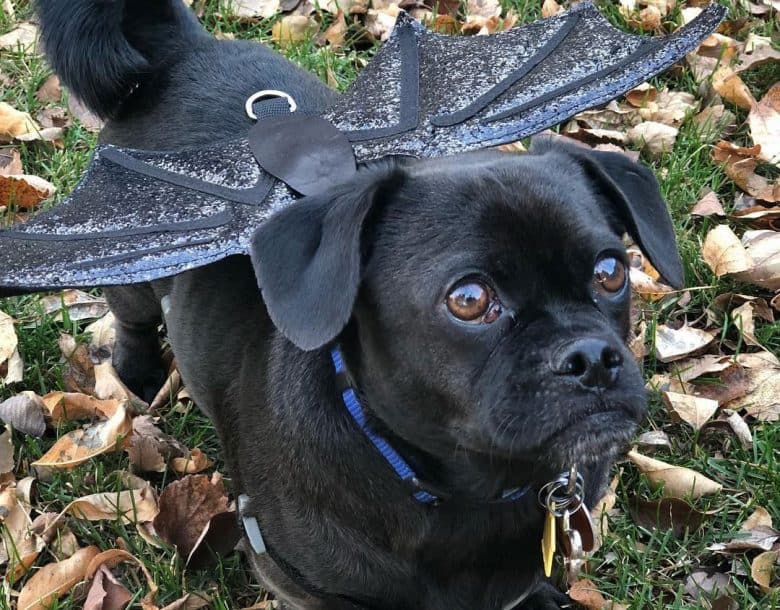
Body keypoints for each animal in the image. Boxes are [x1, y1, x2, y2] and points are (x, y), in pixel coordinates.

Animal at [38, 2, 684, 604]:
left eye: (611, 272)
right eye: (469, 299)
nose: (591, 357)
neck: (468, 491)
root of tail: (184, 50)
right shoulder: (302, 586)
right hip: (132, 269)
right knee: (134, 318)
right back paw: (138, 371)